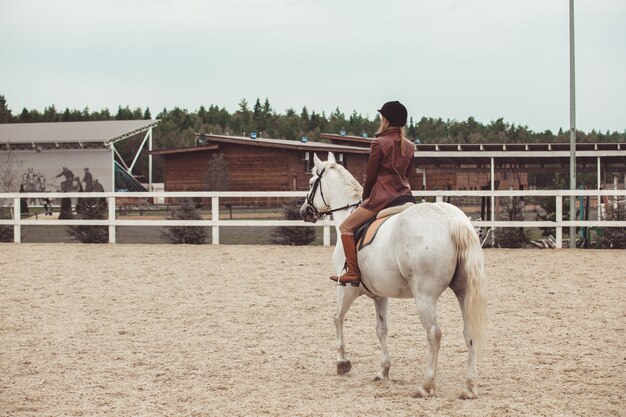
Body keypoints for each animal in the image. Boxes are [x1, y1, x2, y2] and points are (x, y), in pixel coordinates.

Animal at [298, 152, 488, 396]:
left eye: (312, 182)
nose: (304, 211)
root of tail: (453, 220)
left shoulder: (346, 288)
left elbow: (337, 317)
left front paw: (342, 362)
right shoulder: (380, 295)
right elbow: (381, 329)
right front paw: (383, 370)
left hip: (425, 297)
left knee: (434, 334)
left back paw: (426, 385)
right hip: (463, 292)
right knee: (469, 332)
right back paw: (470, 387)